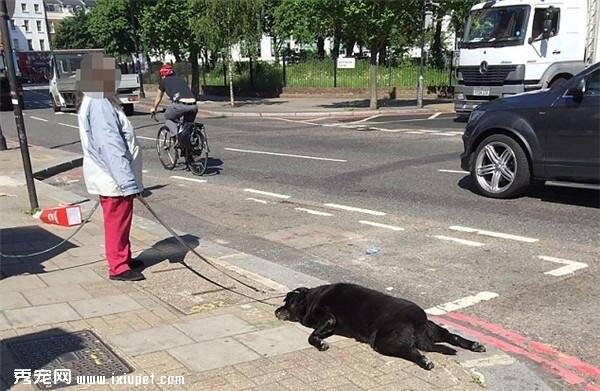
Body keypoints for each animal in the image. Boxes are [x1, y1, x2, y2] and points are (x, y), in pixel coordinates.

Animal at [274, 284, 486, 370]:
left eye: (286, 302)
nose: (276, 310)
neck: (310, 300)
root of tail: (416, 322)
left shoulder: (328, 318)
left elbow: (311, 336)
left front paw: (319, 343)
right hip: (432, 329)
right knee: (451, 336)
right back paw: (474, 345)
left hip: (385, 341)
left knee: (411, 350)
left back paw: (424, 361)